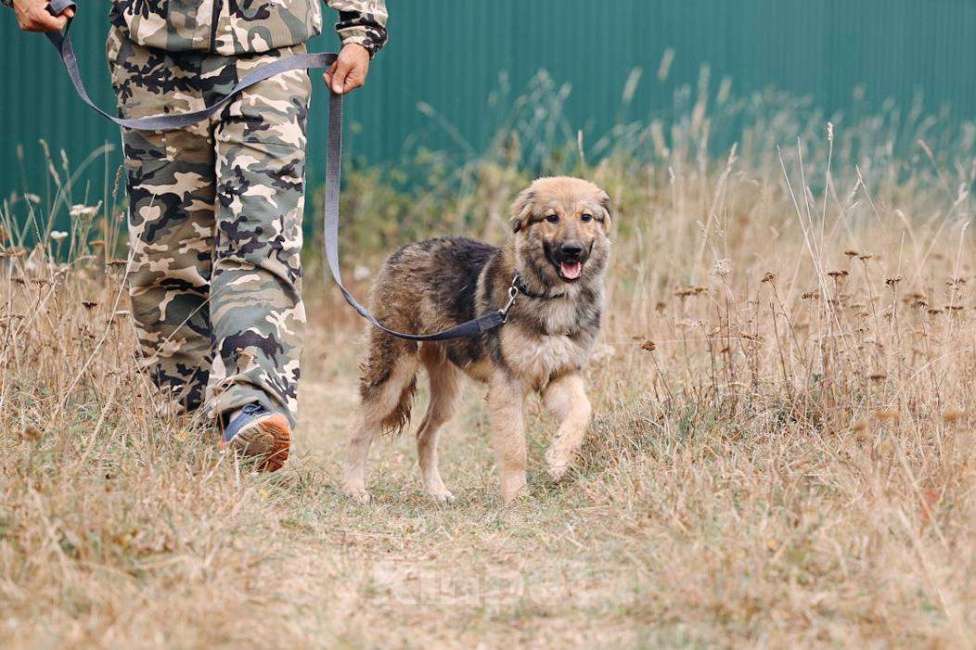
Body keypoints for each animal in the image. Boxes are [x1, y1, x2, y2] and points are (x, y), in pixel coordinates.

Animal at [342, 176, 608, 502]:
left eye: (586, 217)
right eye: (551, 217)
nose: (573, 251)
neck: (552, 296)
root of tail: (403, 251)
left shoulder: (560, 376)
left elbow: (582, 411)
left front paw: (559, 458)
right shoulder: (508, 385)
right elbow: (515, 447)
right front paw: (517, 497)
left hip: (448, 393)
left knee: (423, 433)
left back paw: (437, 491)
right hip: (394, 373)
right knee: (358, 428)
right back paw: (354, 488)